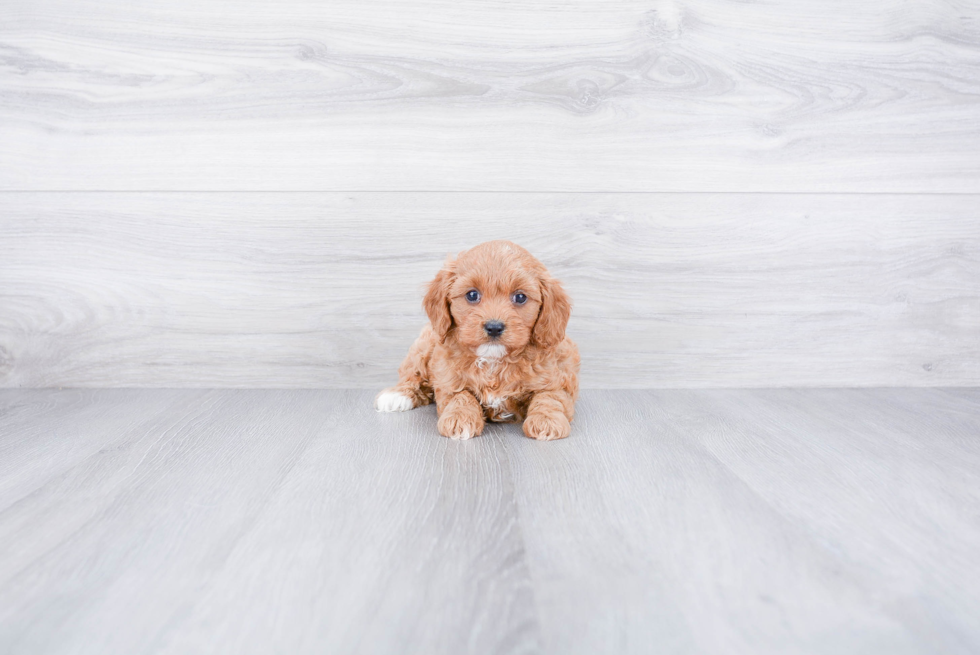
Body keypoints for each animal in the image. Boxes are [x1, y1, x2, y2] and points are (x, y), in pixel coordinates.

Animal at [374, 241, 576, 440]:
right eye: (472, 295)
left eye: (520, 297)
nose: (494, 327)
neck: (493, 360)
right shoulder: (447, 380)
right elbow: (461, 395)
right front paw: (459, 418)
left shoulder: (557, 380)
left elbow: (549, 397)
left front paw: (547, 421)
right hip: (423, 346)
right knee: (413, 374)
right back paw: (396, 395)